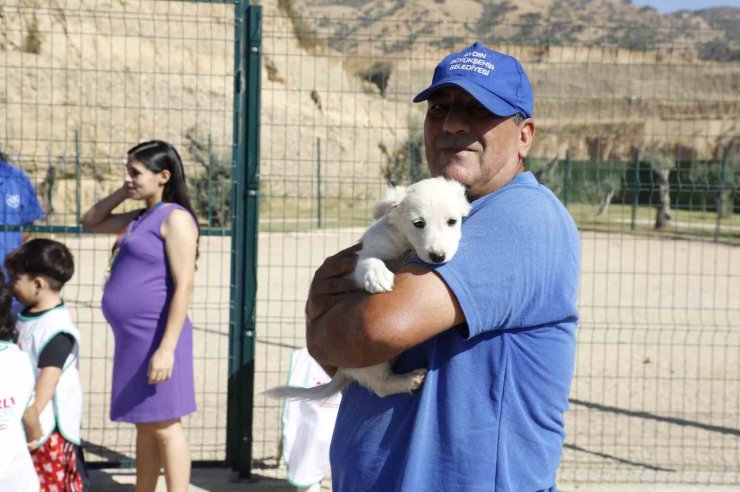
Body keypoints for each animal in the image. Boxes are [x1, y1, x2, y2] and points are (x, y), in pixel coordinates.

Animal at [264, 177, 468, 400]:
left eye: (452, 221)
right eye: (419, 224)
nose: (438, 257)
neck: (404, 244)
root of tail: (344, 370)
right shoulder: (367, 254)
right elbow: (370, 261)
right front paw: (378, 276)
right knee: (380, 386)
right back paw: (408, 380)